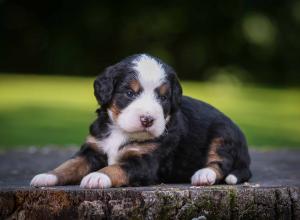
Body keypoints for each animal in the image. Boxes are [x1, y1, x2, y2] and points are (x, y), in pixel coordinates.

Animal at [29, 54, 251, 188]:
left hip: (223, 135)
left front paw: (97, 176)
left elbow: (117, 168)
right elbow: (69, 165)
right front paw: (47, 176)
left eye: (163, 97)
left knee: (221, 164)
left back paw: (203, 175)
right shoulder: (92, 149)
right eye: (130, 93)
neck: (121, 131)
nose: (148, 119)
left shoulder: (145, 162)